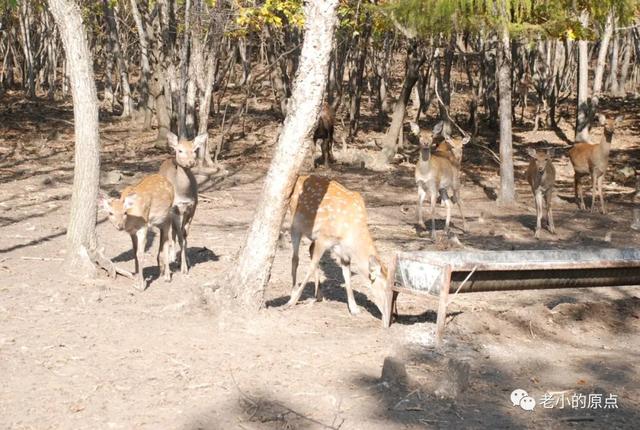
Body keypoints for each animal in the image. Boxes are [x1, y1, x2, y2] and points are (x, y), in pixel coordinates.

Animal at [159, 131, 206, 274]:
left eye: (195, 150)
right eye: (180, 150)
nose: (191, 162)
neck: (183, 194)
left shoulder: (192, 208)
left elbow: (184, 236)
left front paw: (186, 262)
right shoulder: (174, 208)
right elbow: (180, 236)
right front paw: (183, 268)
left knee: (176, 231)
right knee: (171, 231)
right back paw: (171, 257)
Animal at [284, 174, 390, 320]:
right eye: (386, 290)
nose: (393, 316)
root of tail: (300, 176)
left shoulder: (342, 251)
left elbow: (347, 275)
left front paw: (354, 308)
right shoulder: (323, 238)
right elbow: (311, 266)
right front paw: (292, 302)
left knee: (309, 249)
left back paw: (319, 295)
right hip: (295, 224)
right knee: (295, 258)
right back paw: (293, 292)